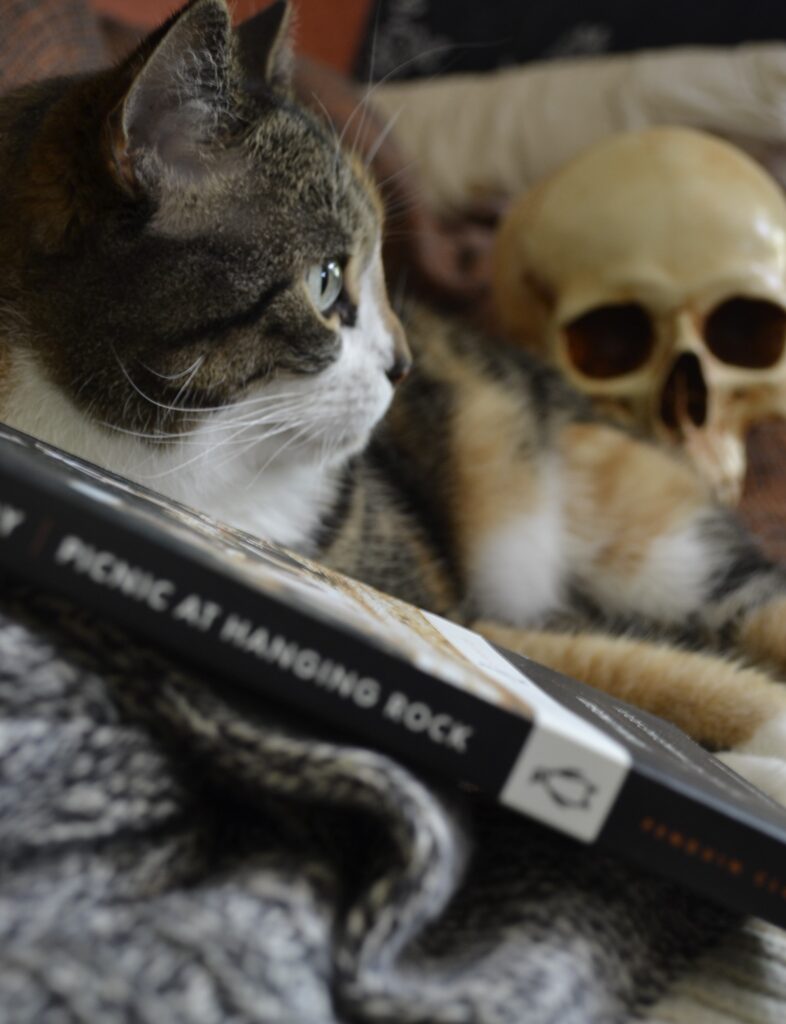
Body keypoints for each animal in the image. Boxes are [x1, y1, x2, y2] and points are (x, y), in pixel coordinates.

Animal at [0, 0, 786, 790]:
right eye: (324, 281)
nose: (404, 364)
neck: (178, 471)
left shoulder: (428, 589)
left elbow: (624, 665)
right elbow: (609, 664)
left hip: (639, 525)